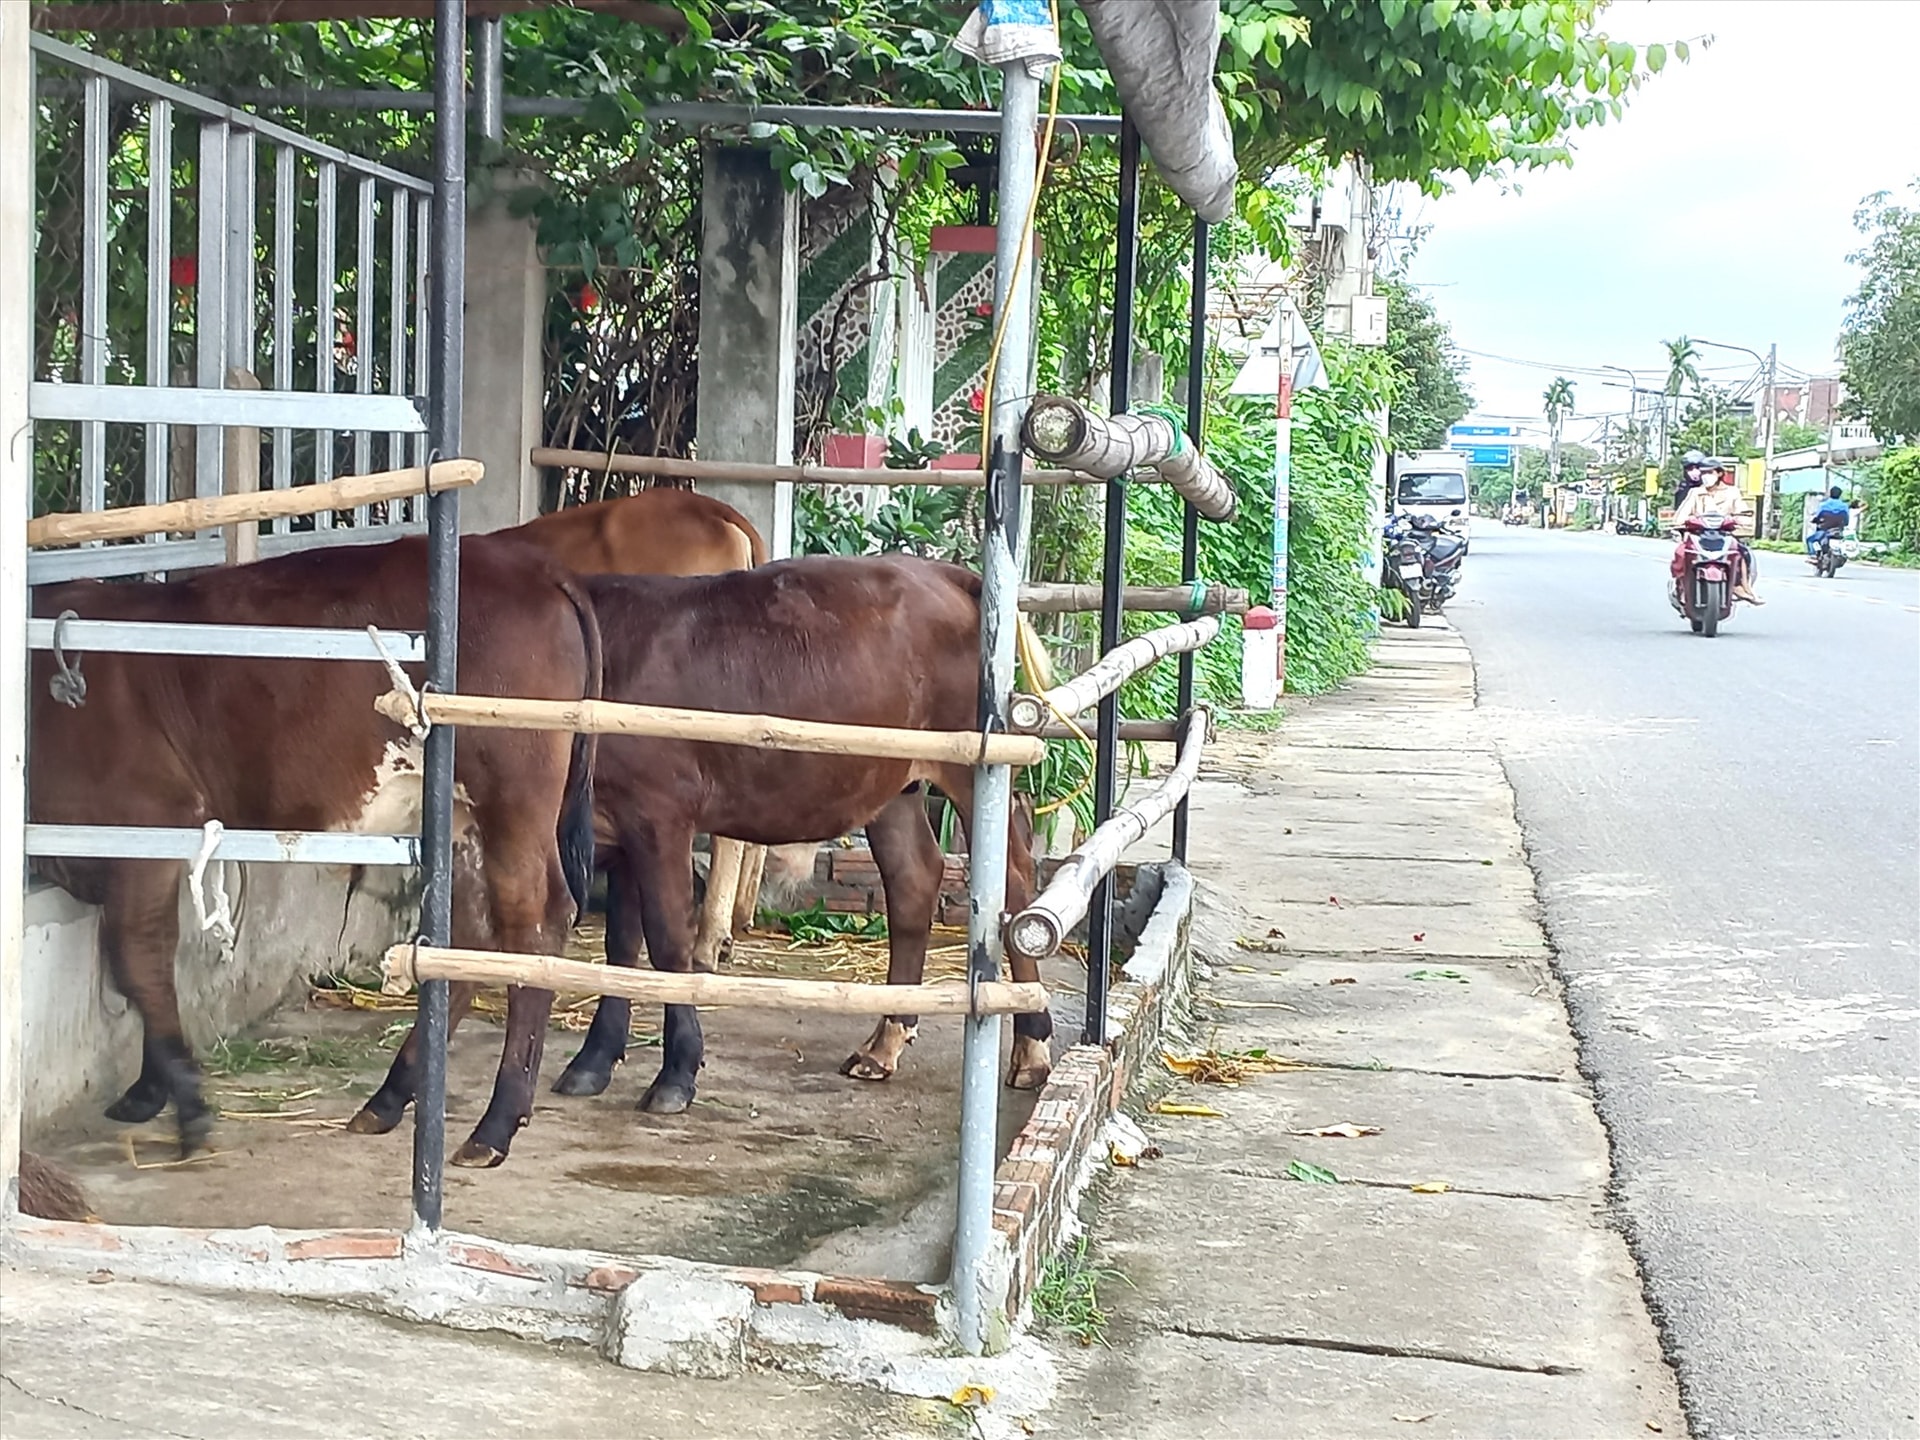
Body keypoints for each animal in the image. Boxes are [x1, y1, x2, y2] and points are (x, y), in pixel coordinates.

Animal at [30, 537, 599, 1167]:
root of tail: (528, 563)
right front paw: (150, 1088)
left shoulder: (143, 823)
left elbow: (138, 957)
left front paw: (185, 1103)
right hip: (461, 812)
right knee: (473, 932)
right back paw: (389, 1097)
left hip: (512, 798)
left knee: (534, 925)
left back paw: (494, 1124)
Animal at [533, 556, 1059, 1121]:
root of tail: (948, 574)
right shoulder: (621, 822)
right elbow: (622, 946)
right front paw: (592, 1062)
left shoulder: (660, 814)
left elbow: (668, 942)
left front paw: (676, 1074)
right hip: (891, 783)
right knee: (913, 876)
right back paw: (882, 1045)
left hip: (970, 769)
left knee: (1014, 873)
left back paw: (1031, 1048)